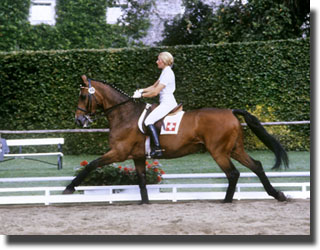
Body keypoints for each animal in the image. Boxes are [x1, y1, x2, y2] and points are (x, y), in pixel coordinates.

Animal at [63, 74, 288, 203]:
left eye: (83, 96)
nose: (79, 120)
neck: (124, 114)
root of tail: (230, 111)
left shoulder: (118, 153)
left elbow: (91, 164)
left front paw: (69, 188)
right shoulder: (137, 156)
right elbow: (142, 180)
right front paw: (145, 203)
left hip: (219, 151)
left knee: (233, 174)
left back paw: (226, 201)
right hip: (234, 149)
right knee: (256, 166)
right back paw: (277, 194)